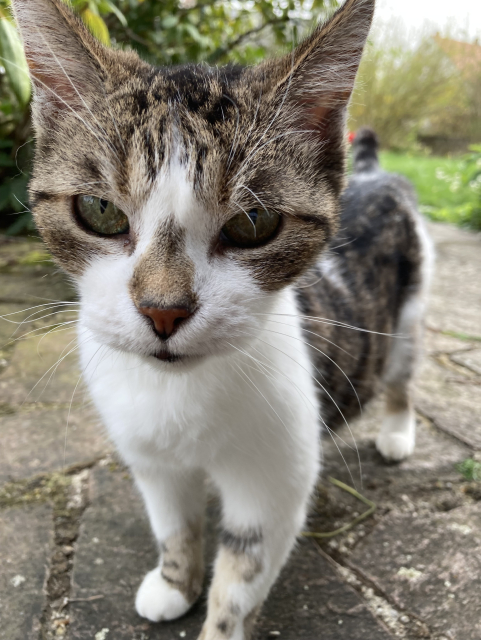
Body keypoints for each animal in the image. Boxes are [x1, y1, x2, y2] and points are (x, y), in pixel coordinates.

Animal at [10, 0, 432, 636]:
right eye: (100, 210)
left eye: (254, 223)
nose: (163, 310)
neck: (178, 393)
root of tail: (376, 173)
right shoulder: (150, 458)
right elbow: (173, 522)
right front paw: (174, 581)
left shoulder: (273, 480)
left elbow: (240, 576)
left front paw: (217, 616)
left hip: (411, 306)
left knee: (402, 371)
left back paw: (398, 431)